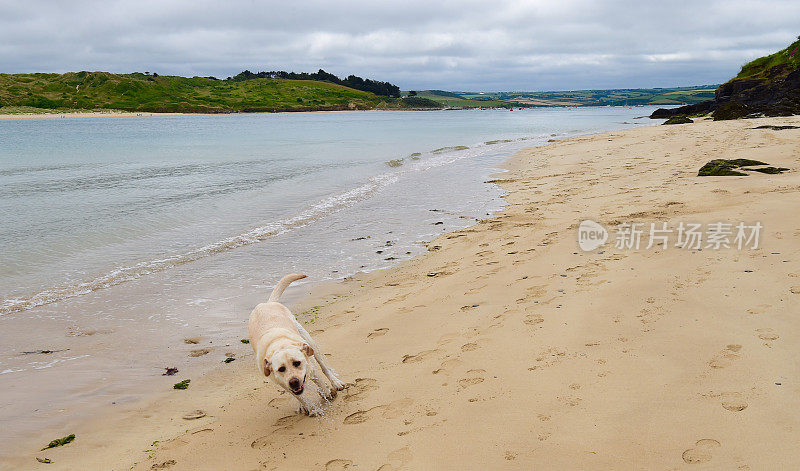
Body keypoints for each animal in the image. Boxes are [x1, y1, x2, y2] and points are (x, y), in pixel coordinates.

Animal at [245, 274, 342, 414]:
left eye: (297, 363)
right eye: (281, 369)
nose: (294, 382)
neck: (279, 343)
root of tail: (267, 303)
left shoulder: (311, 367)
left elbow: (320, 382)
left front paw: (327, 393)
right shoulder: (281, 382)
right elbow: (299, 396)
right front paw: (310, 408)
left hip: (310, 343)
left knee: (323, 367)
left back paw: (335, 382)